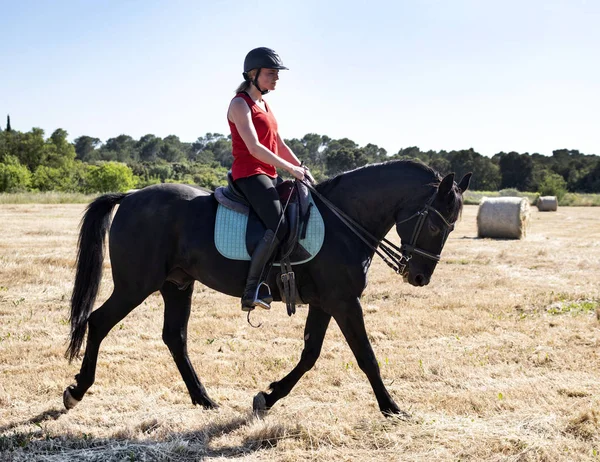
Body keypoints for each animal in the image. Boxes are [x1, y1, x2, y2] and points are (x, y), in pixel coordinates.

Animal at [63, 161, 472, 416]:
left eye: (451, 227)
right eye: (434, 225)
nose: (419, 277)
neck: (344, 222)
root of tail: (131, 195)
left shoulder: (326, 303)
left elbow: (310, 355)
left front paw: (269, 397)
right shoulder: (344, 302)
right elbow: (366, 356)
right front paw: (391, 407)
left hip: (177, 285)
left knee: (174, 338)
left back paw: (204, 399)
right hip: (136, 285)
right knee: (98, 323)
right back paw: (77, 390)